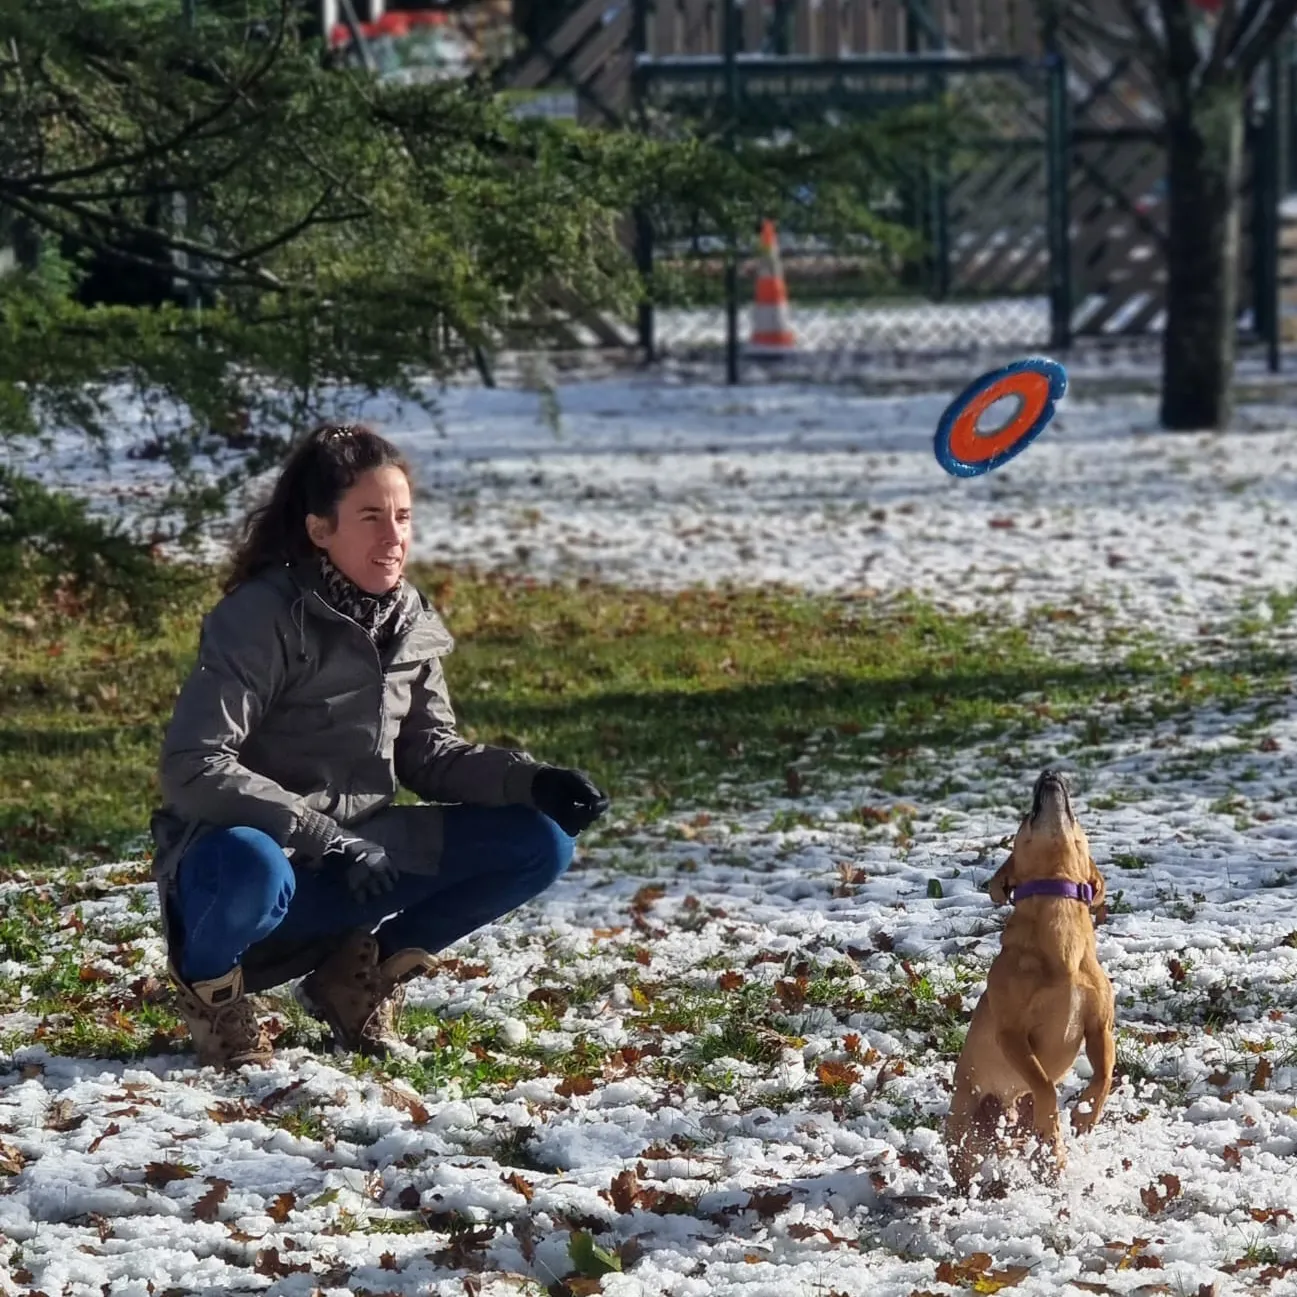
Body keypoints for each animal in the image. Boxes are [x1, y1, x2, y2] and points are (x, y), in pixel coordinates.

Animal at [944, 767, 1115, 1193]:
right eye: (1025, 816)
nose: (1051, 771)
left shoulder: (1099, 1026)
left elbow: (1105, 1073)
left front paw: (1086, 1114)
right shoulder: (1012, 1033)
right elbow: (1043, 1084)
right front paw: (1053, 1117)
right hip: (964, 1122)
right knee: (965, 1162)